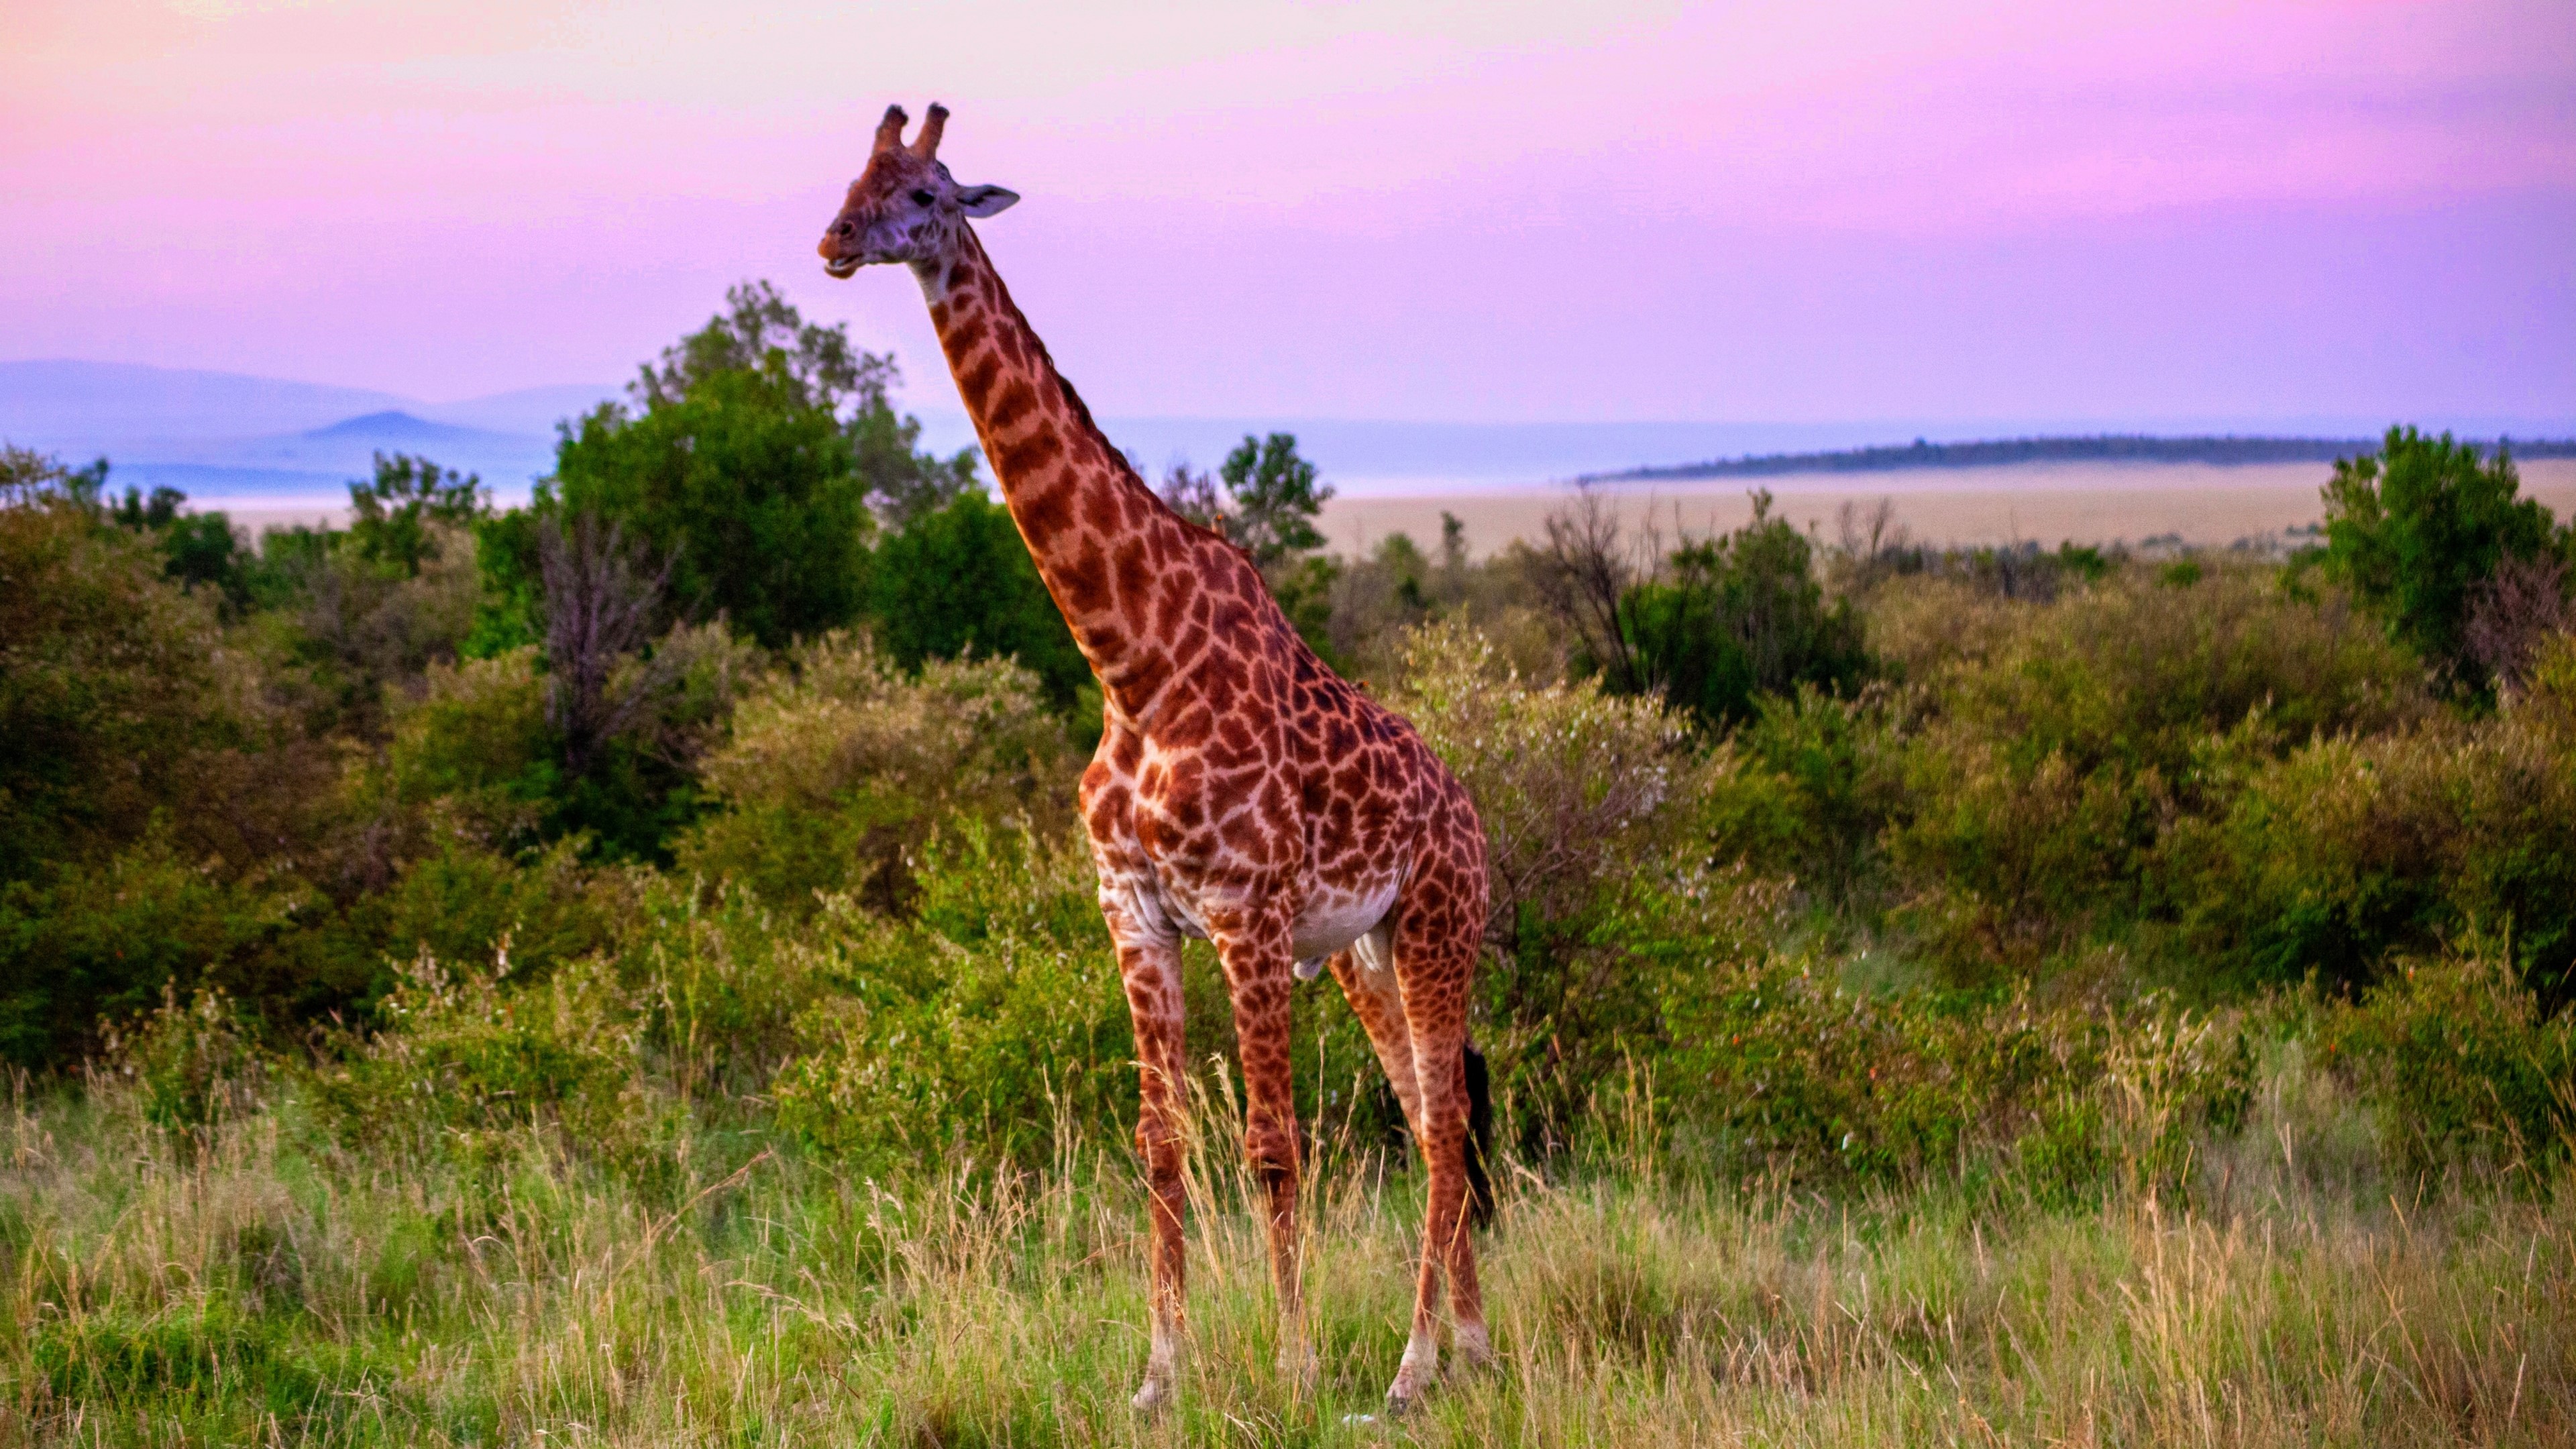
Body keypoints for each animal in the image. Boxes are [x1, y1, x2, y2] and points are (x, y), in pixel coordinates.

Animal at [818, 103, 1494, 1414]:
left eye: (922, 193)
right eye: (849, 177)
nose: (831, 243)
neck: (1133, 665)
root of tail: (1476, 817)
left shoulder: (1246, 912)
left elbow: (1273, 1148)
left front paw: (1293, 1367)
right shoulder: (1132, 912)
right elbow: (1161, 1146)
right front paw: (1158, 1377)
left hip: (1441, 925)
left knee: (1442, 1126)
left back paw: (1408, 1370)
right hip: (1367, 952)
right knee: (1426, 1108)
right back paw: (1469, 1348)